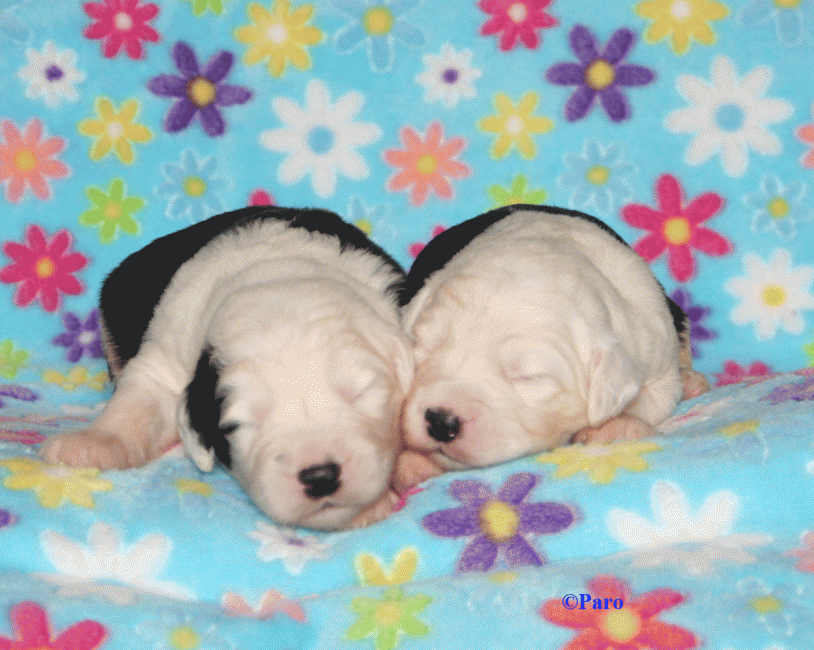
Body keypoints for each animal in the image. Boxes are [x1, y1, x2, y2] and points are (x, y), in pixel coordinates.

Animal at [40, 206, 413, 530]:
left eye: (362, 393)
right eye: (239, 424)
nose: (319, 476)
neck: (277, 276)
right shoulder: (165, 356)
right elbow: (137, 402)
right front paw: (92, 444)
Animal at [394, 204, 709, 488]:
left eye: (528, 377)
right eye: (424, 348)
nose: (441, 422)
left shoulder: (654, 348)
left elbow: (653, 396)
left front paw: (614, 427)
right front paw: (413, 462)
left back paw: (693, 381)